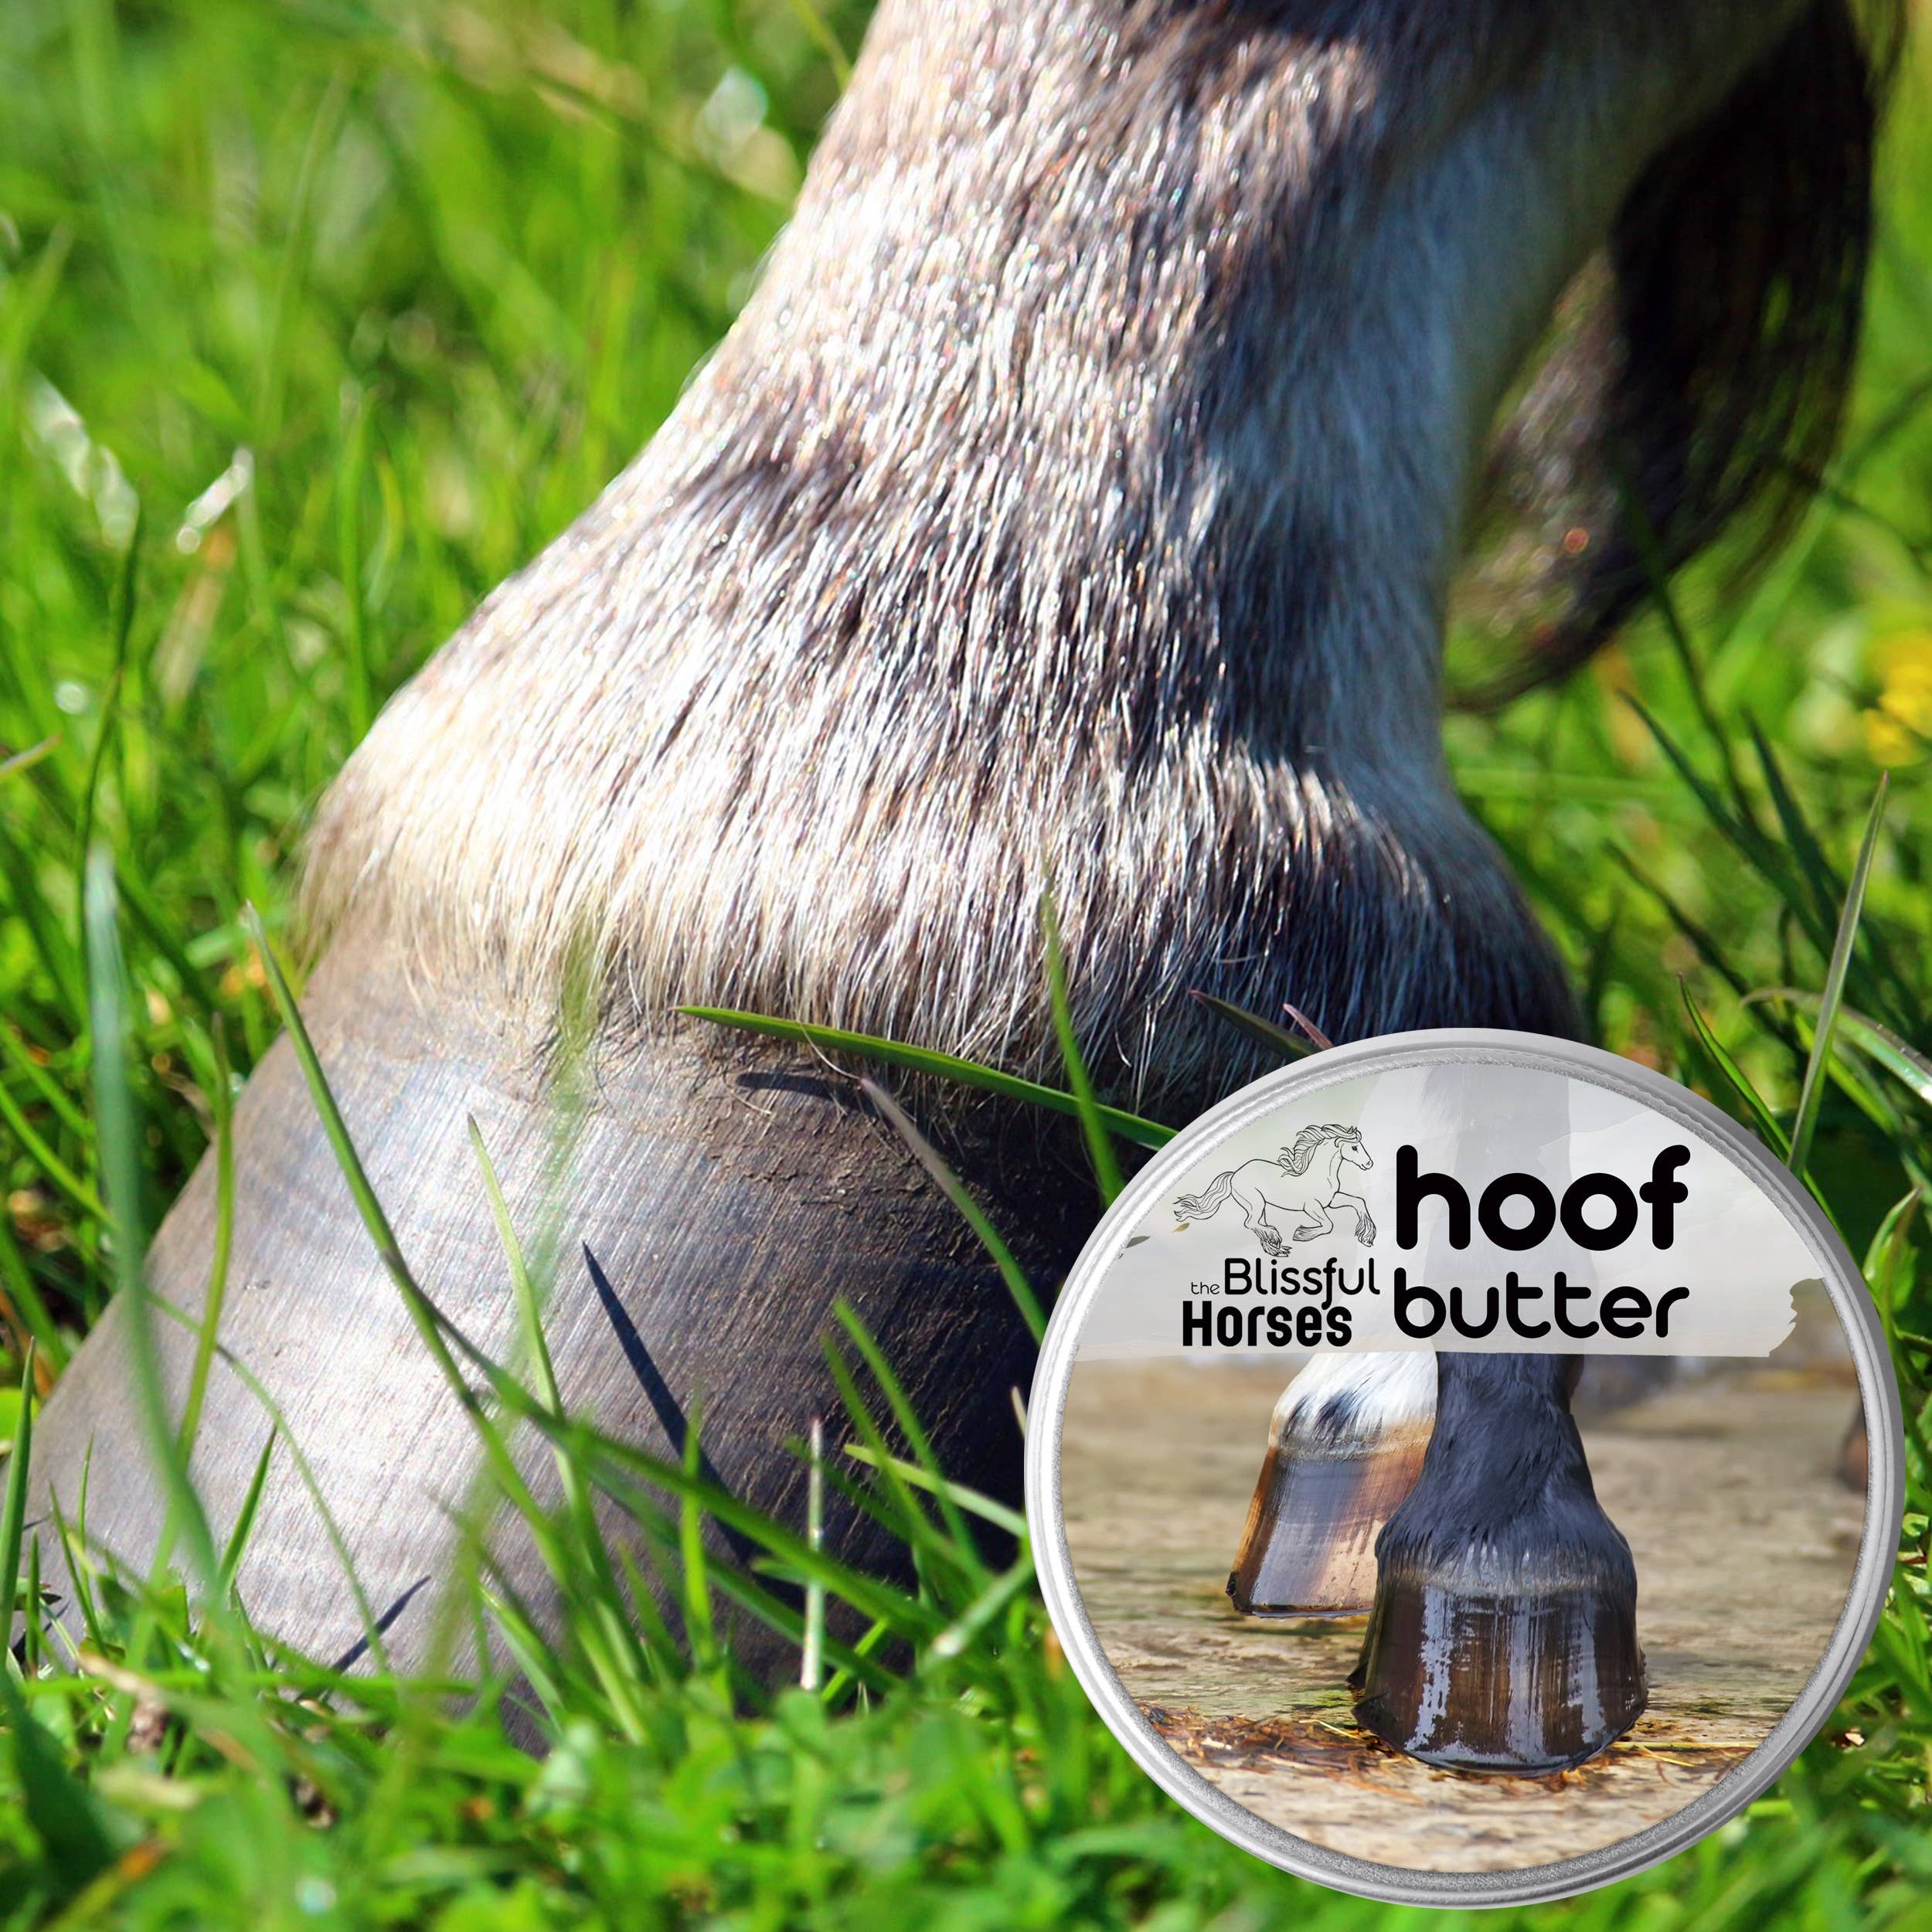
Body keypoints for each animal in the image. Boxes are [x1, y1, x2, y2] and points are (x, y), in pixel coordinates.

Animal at [1172, 1124, 1377, 1253]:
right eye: (1354, 1148)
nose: (1369, 1164)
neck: (1321, 1173)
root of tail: (1234, 1174)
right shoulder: (1312, 1207)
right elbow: (1329, 1225)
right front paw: (1301, 1234)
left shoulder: (1331, 1201)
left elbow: (1359, 1202)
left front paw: (1366, 1238)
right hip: (1255, 1203)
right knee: (1250, 1224)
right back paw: (1275, 1237)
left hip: (1260, 1206)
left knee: (1257, 1224)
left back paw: (1277, 1248)